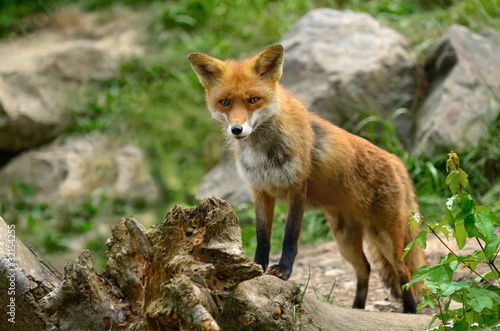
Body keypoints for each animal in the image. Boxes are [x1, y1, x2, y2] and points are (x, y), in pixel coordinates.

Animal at [188, 44, 426, 314]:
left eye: (253, 100)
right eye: (225, 102)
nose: (237, 130)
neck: (263, 153)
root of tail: (395, 160)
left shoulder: (296, 188)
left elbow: (290, 235)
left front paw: (284, 270)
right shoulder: (261, 191)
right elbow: (263, 238)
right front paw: (258, 268)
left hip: (386, 237)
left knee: (403, 270)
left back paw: (409, 310)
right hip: (345, 241)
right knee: (365, 268)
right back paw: (356, 309)